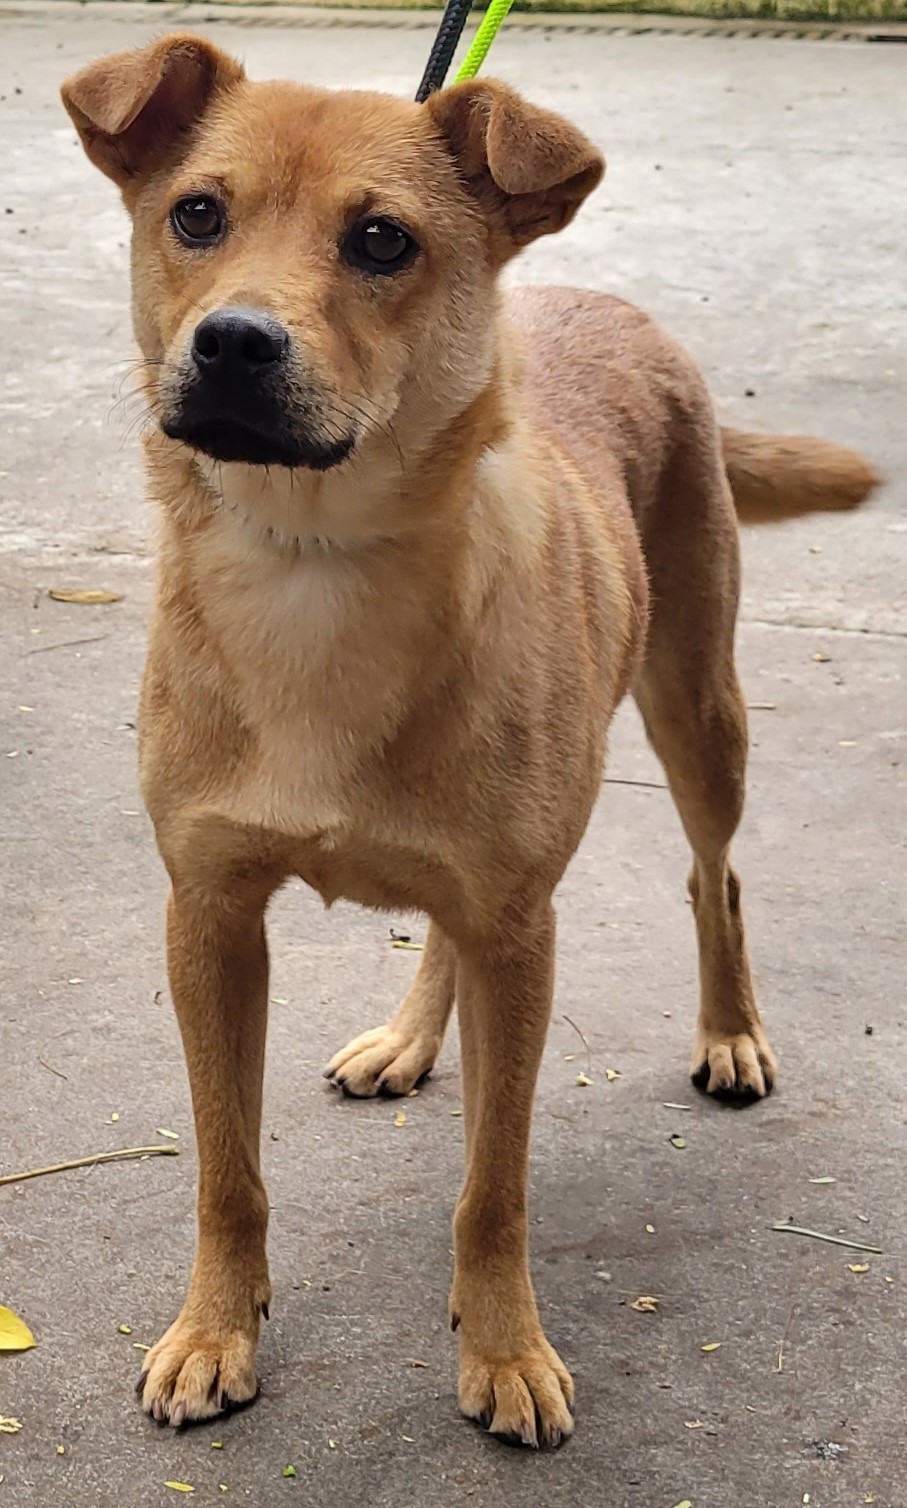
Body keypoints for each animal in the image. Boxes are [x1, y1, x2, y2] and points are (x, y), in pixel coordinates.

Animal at [58, 35, 875, 1447]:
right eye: (196, 215)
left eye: (382, 239)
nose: (232, 342)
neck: (314, 563)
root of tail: (607, 301)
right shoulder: (208, 915)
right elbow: (225, 1166)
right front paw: (215, 1329)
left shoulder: (520, 933)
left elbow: (494, 1180)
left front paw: (503, 1349)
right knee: (442, 925)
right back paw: (408, 1039)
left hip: (695, 711)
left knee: (712, 873)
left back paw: (728, 1031)